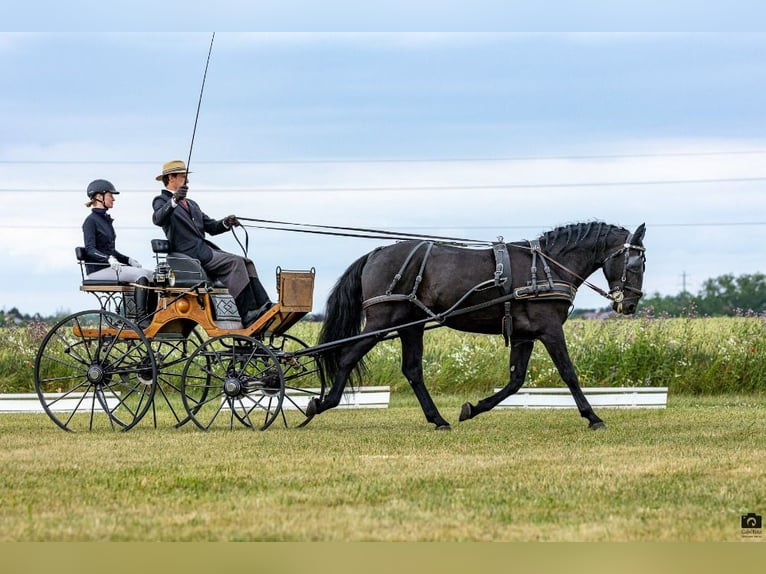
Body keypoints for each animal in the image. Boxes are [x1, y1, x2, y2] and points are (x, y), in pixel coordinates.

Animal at [306, 223, 648, 430]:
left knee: (412, 370)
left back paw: (438, 419)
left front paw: (473, 408)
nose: (630, 305)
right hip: (382, 321)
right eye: (636, 263)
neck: (547, 266)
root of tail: (375, 253)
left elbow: (515, 381)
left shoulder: (523, 334)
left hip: (410, 325)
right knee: (348, 357)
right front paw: (593, 416)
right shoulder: (549, 329)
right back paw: (321, 404)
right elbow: (568, 373)